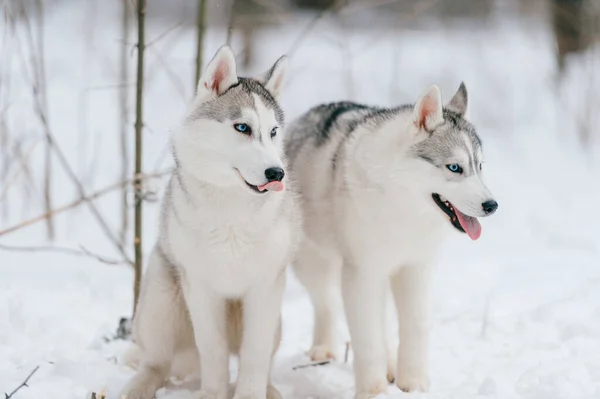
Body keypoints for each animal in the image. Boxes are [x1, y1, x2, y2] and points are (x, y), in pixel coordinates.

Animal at [120, 47, 300, 399]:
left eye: (273, 131)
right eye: (243, 128)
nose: (277, 173)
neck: (232, 212)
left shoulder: (265, 288)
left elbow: (255, 356)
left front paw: (251, 394)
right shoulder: (202, 289)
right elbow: (213, 350)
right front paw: (213, 393)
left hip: (275, 322)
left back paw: (271, 389)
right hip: (160, 302)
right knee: (156, 363)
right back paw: (137, 387)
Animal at [286, 83, 496, 396]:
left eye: (479, 166)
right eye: (454, 168)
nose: (492, 205)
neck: (403, 206)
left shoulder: (416, 269)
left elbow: (415, 327)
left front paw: (414, 385)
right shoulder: (362, 273)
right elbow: (366, 338)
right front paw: (373, 391)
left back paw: (389, 367)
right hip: (314, 265)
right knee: (327, 304)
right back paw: (324, 351)